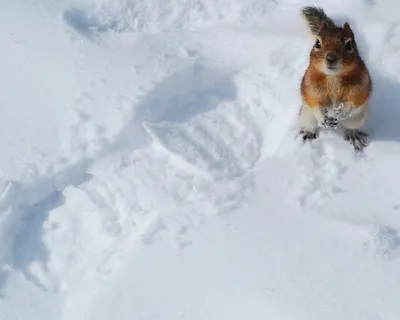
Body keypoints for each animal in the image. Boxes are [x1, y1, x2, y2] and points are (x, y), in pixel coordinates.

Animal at [296, 6, 372, 151]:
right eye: (317, 43)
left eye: (349, 44)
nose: (331, 58)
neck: (333, 77)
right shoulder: (310, 85)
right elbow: (314, 101)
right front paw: (322, 116)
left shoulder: (361, 85)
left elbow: (355, 100)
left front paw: (343, 109)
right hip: (306, 114)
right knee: (310, 124)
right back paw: (308, 133)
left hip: (357, 118)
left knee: (350, 127)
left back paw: (353, 136)